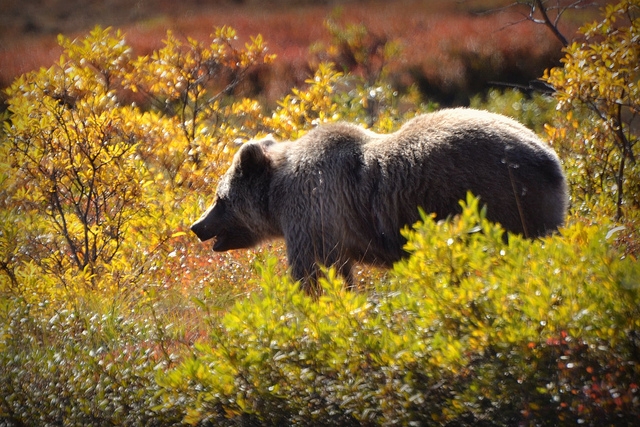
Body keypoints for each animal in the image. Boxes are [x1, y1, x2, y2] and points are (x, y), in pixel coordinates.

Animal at [191, 108, 568, 293]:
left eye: (219, 198)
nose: (196, 226)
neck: (277, 197)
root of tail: (549, 159)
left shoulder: (314, 210)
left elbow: (316, 271)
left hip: (497, 199)